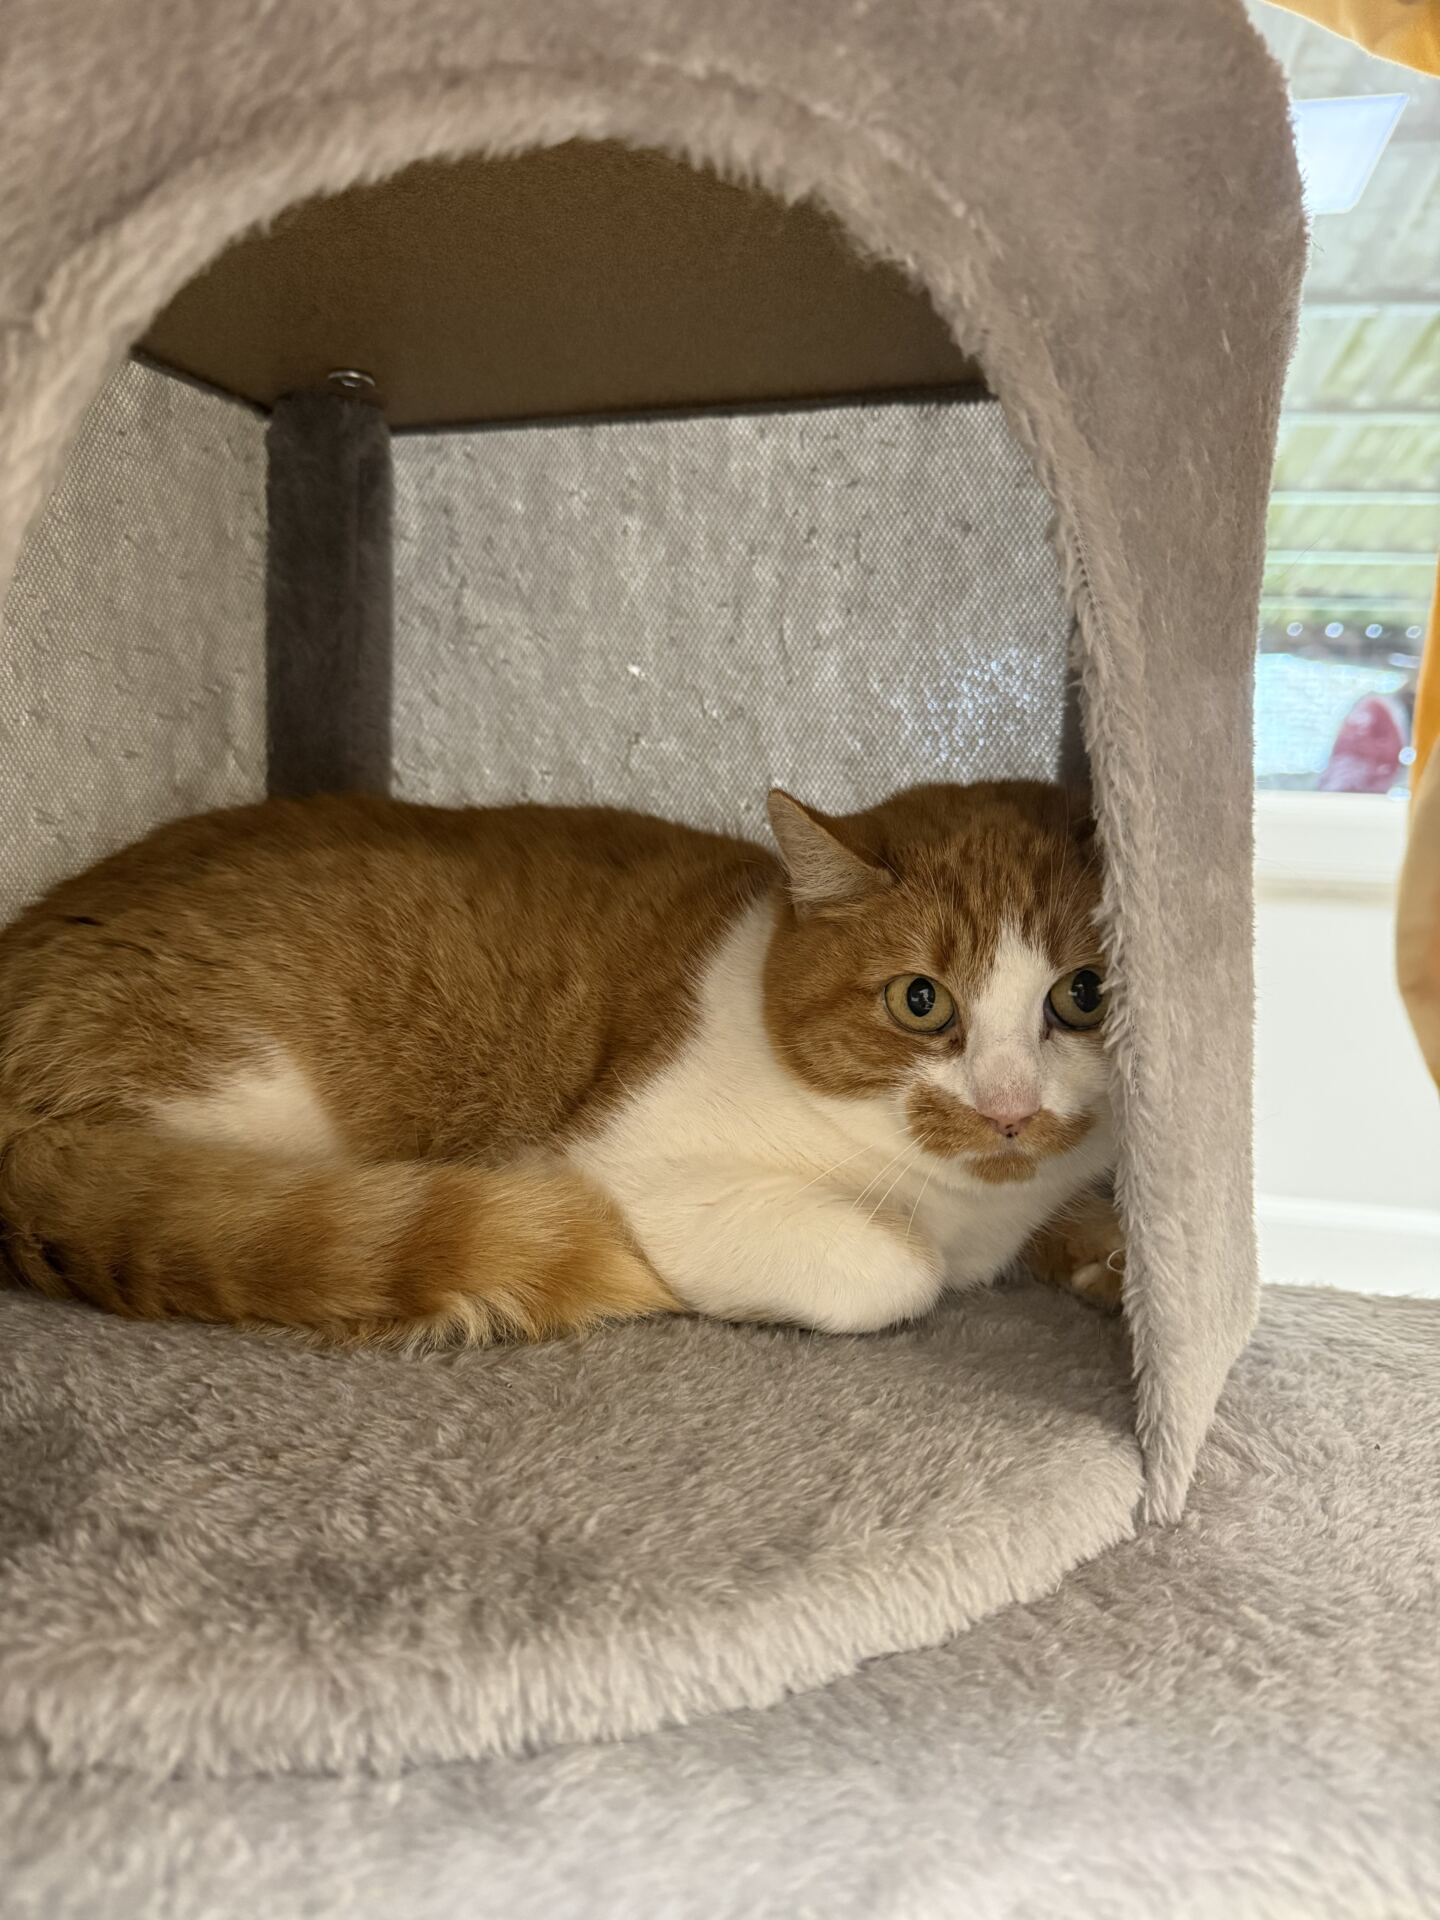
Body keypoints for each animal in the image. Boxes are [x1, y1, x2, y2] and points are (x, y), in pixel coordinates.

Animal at [0, 780, 1124, 1346]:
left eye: (1084, 994)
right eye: (920, 1002)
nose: (1011, 1108)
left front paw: (1105, 1258)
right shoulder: (649, 1166)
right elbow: (901, 1271)